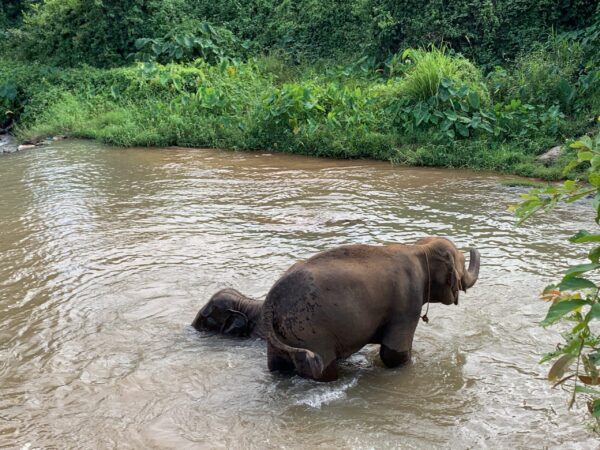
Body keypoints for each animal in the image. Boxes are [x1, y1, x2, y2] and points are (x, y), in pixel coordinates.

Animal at [262, 237, 478, 382]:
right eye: (462, 262)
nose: (471, 247)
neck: (419, 247)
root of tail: (270, 302)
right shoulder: (408, 302)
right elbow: (393, 355)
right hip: (310, 332)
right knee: (323, 367)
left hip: (285, 336)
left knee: (278, 366)